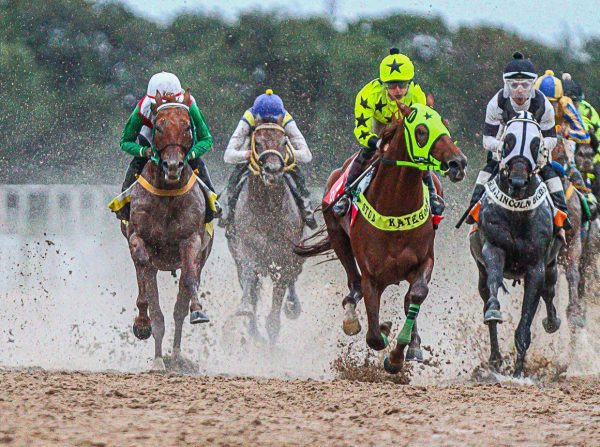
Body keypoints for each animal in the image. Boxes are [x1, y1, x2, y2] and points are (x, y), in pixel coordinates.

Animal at [122, 90, 213, 372]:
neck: (168, 193)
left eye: (187, 126)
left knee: (178, 308)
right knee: (158, 312)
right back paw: (159, 358)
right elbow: (143, 269)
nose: (173, 166)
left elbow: (190, 280)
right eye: (159, 127)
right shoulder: (138, 238)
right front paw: (142, 324)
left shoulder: (191, 240)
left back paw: (176, 356)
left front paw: (198, 310)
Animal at [225, 119, 304, 344]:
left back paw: (293, 305)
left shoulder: (285, 258)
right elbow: (249, 277)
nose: (273, 170)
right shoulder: (246, 249)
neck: (269, 211)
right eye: (257, 142)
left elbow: (276, 309)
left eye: (284, 142)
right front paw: (246, 311)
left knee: (294, 277)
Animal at [296, 102, 468, 374]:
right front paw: (386, 332)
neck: (395, 206)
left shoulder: (424, 260)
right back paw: (352, 316)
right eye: (421, 130)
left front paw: (401, 353)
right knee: (353, 284)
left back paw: (413, 344)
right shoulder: (372, 276)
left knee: (408, 299)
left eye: (445, 125)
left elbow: (417, 294)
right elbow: (374, 337)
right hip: (338, 237)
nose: (458, 163)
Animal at [472, 113, 564, 378]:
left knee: (549, 293)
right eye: (509, 140)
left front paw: (518, 372)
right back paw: (495, 359)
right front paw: (494, 311)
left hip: (552, 266)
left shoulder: (536, 267)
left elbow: (526, 321)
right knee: (486, 296)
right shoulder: (493, 248)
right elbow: (493, 291)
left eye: (535, 143)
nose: (518, 180)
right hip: (480, 272)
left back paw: (552, 322)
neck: (517, 212)